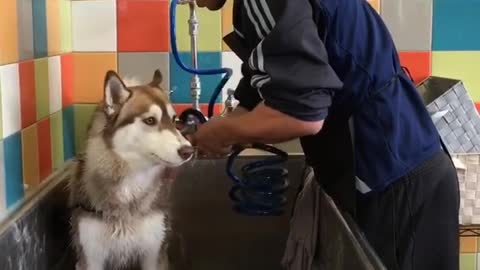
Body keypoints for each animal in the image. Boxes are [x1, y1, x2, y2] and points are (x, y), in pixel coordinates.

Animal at [68, 70, 195, 270]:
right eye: (150, 120)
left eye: (175, 121)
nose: (188, 151)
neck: (130, 183)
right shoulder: (91, 258)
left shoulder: (153, 254)